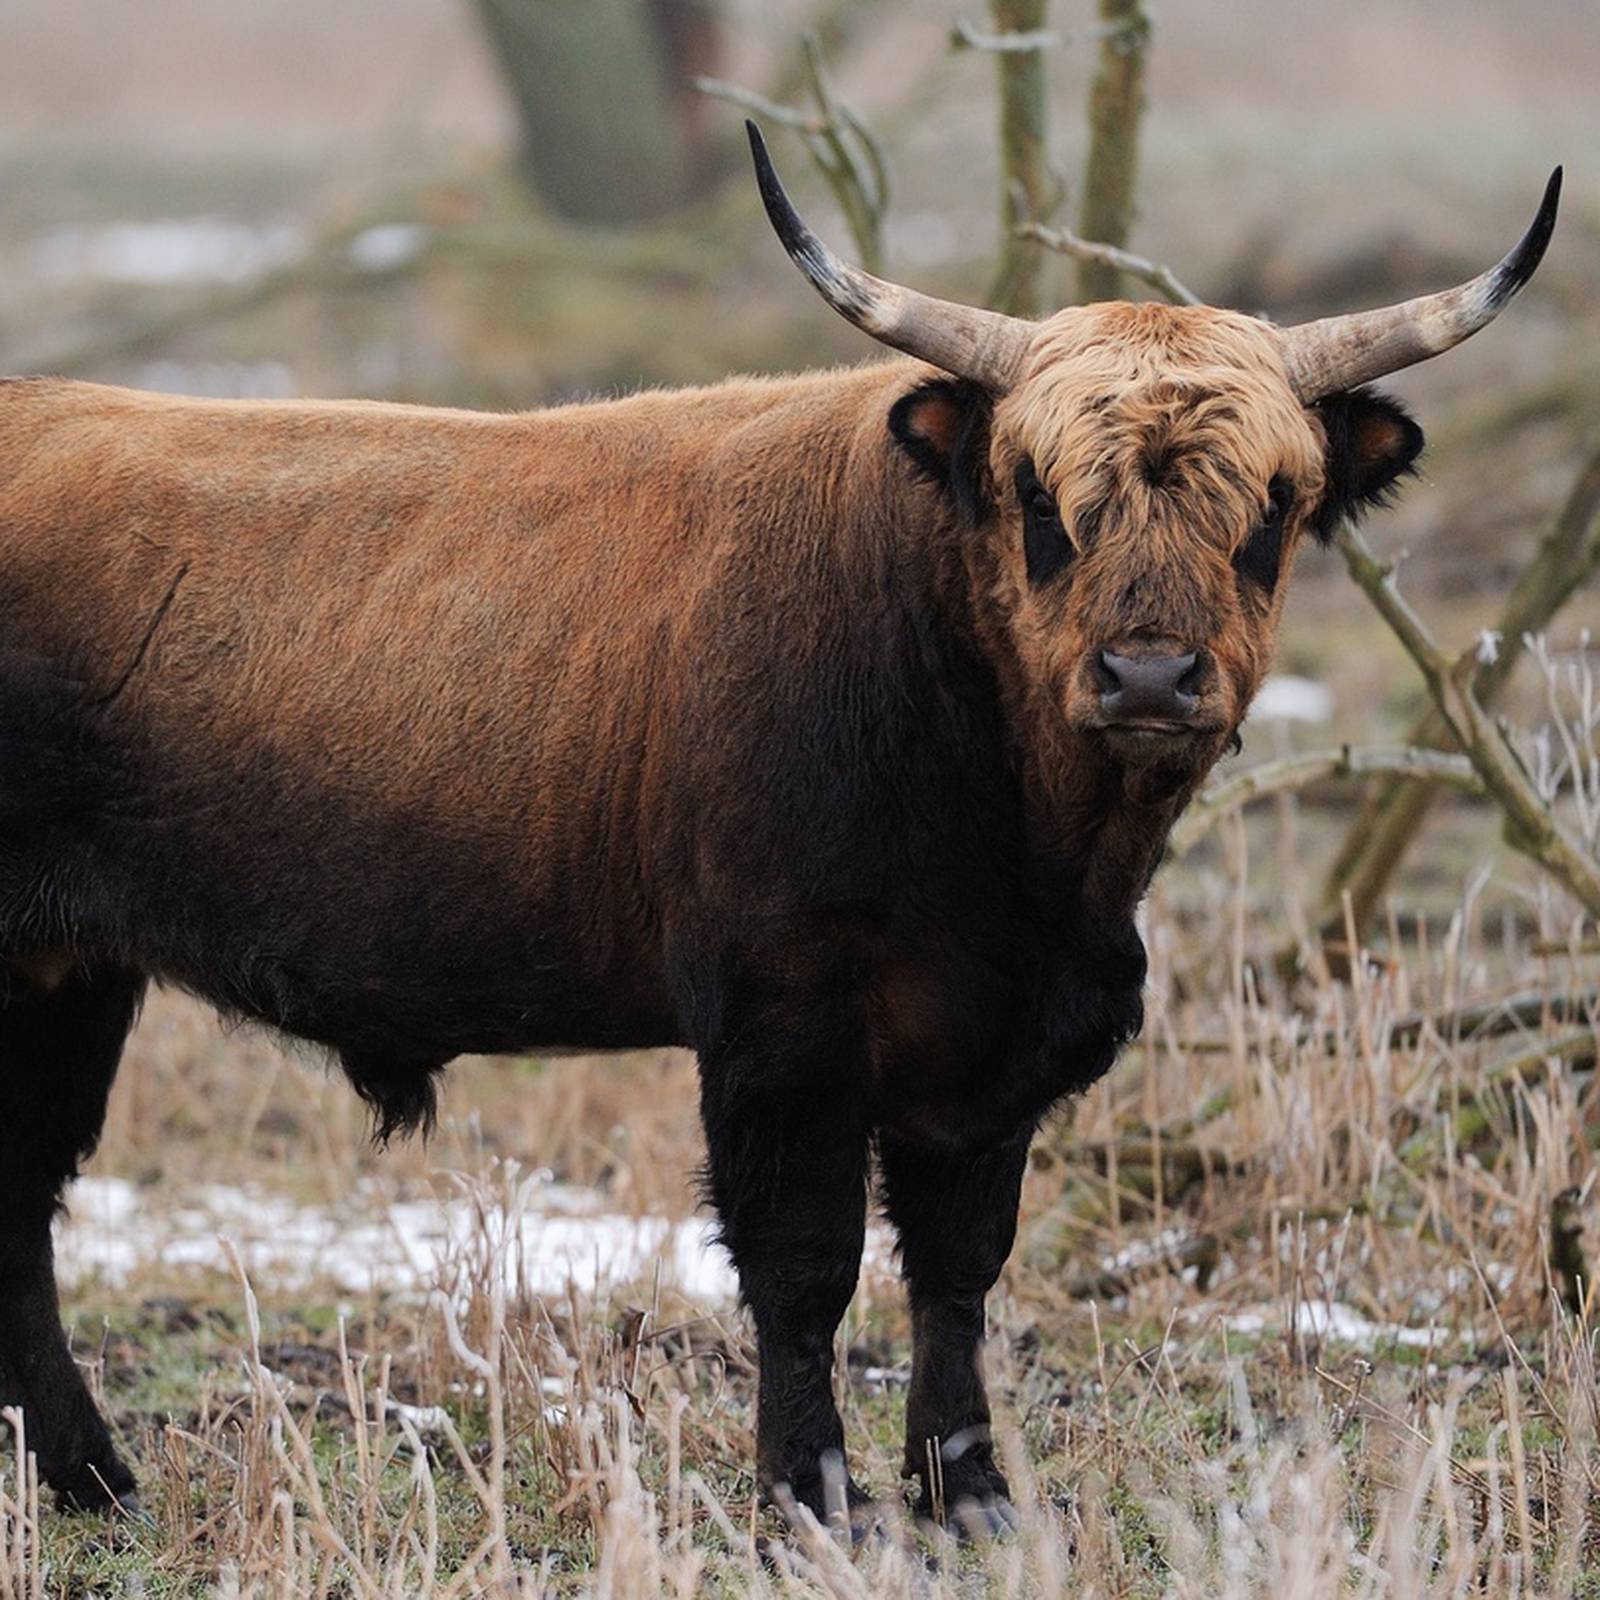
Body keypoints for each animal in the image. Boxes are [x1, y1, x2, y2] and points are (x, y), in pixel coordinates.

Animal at [0, 121, 1561, 1523]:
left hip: (66, 977)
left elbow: (955, 1269)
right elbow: (803, 1267)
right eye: (1038, 497)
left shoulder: (986, 1055)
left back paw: (92, 1483)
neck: (1038, 867)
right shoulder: (783, 1017)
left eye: (1277, 505)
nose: (1149, 675)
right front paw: (810, 1492)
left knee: (22, 1200)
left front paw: (970, 1493)